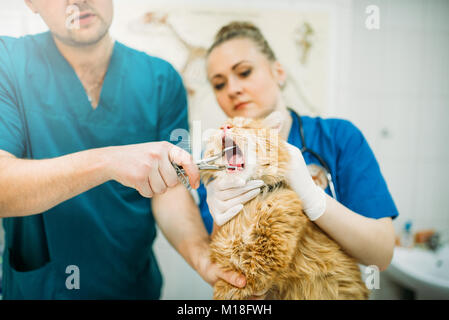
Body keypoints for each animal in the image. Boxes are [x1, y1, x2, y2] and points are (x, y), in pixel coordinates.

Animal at [200, 114, 368, 298]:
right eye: (220, 127)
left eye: (246, 126)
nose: (225, 127)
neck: (248, 207)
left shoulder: (264, 258)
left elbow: (252, 273)